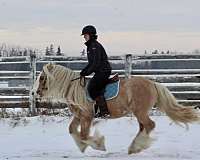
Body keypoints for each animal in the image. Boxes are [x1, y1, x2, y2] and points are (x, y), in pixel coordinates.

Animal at [34, 63, 200, 154]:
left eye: (42, 77)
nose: (35, 93)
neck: (76, 90)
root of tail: (153, 83)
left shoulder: (87, 116)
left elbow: (84, 135)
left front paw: (99, 144)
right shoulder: (79, 116)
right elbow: (72, 130)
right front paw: (82, 147)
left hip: (140, 112)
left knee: (149, 125)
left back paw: (136, 147)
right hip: (139, 113)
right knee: (144, 127)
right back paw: (134, 147)